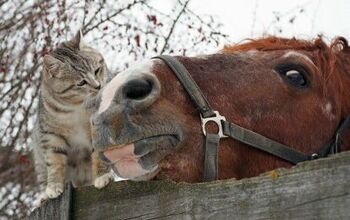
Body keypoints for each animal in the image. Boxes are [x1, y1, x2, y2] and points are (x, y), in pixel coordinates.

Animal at [32, 31, 110, 203]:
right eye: (81, 83)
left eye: (97, 70)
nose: (98, 86)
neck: (77, 108)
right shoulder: (51, 135)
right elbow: (54, 162)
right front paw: (53, 186)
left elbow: (99, 155)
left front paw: (102, 176)